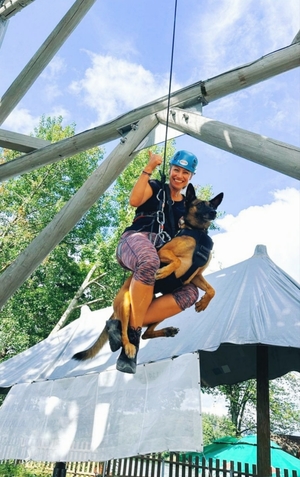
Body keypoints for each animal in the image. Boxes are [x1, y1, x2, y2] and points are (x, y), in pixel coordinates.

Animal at [72, 185, 223, 360]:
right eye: (199, 205)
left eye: (212, 205)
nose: (213, 213)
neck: (197, 233)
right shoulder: (163, 252)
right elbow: (177, 261)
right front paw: (164, 272)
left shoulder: (195, 276)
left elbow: (212, 290)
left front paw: (203, 303)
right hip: (126, 304)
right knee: (125, 330)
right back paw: (127, 344)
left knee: (144, 333)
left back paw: (165, 331)